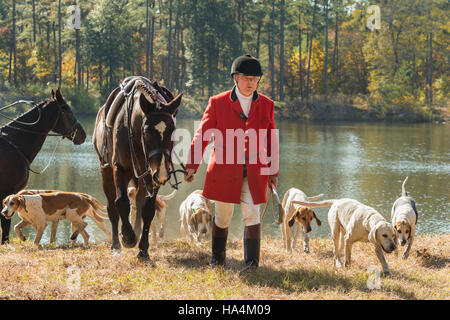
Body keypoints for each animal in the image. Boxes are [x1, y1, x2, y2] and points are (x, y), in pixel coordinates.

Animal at [93, 76, 183, 258]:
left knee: (139, 202)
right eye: (147, 131)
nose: (163, 172)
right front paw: (127, 237)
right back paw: (116, 244)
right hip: (106, 171)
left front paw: (143, 248)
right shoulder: (119, 169)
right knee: (112, 207)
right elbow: (121, 202)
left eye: (172, 130)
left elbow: (147, 209)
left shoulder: (152, 176)